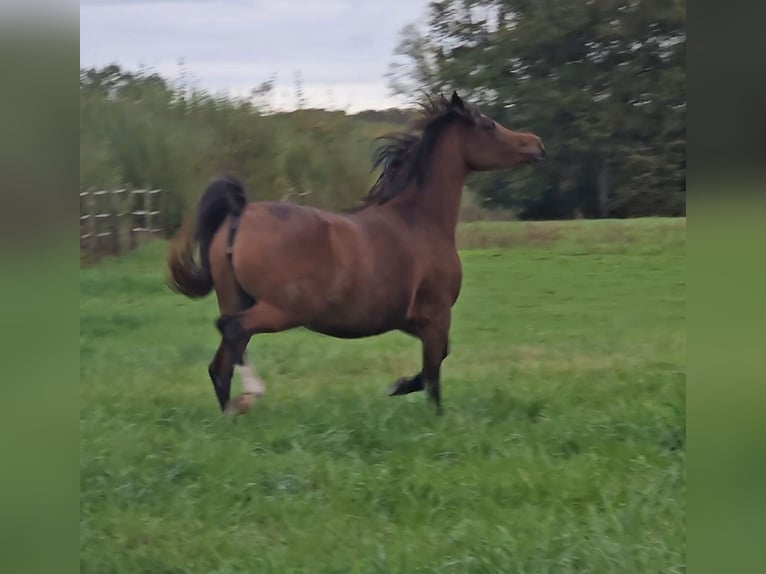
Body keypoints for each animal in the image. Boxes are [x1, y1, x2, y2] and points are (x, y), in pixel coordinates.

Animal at [167, 91, 545, 416]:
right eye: (488, 125)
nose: (536, 144)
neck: (418, 220)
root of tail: (237, 216)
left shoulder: (409, 319)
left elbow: (436, 361)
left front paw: (399, 385)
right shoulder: (436, 314)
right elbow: (434, 374)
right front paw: (428, 412)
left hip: (239, 299)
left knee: (221, 364)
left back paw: (233, 414)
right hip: (282, 310)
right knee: (230, 332)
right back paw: (250, 396)